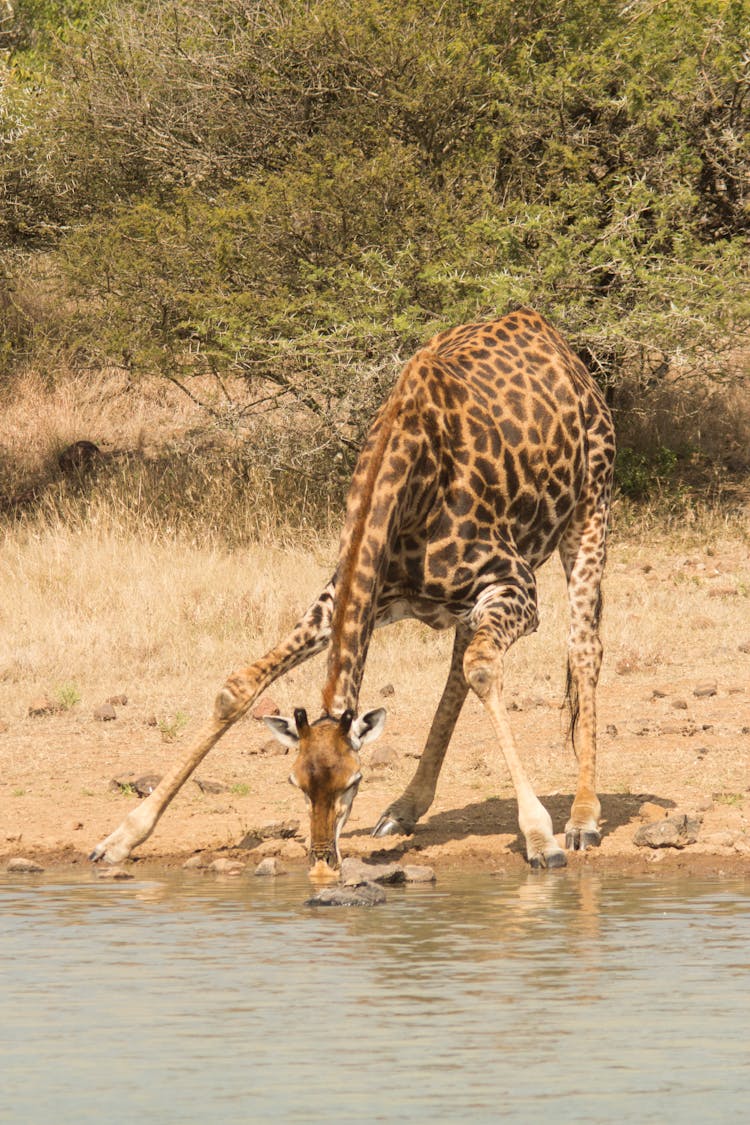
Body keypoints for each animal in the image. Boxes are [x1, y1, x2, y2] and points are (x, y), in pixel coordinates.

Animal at [89, 310, 616, 877]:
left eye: (354, 781)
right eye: (296, 783)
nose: (323, 864)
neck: (409, 487)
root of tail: (547, 332)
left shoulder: (516, 586)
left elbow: (483, 670)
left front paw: (541, 837)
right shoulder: (348, 597)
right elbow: (238, 687)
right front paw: (121, 837)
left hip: (591, 508)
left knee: (583, 647)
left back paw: (583, 818)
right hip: (469, 603)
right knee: (459, 666)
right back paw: (404, 809)